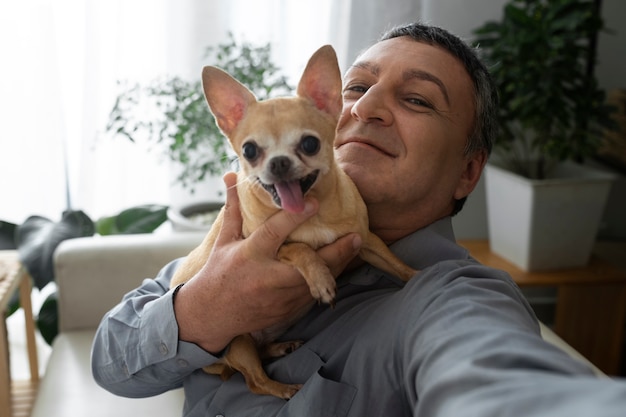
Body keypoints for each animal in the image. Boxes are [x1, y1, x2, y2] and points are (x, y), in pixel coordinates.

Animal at [171, 44, 414, 398]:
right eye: (249, 150)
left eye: (310, 144)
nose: (279, 162)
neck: (314, 214)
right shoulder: (270, 248)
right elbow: (301, 249)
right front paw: (321, 279)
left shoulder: (367, 240)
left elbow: (395, 263)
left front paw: (419, 274)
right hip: (237, 341)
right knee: (255, 381)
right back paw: (284, 388)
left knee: (261, 353)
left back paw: (280, 347)